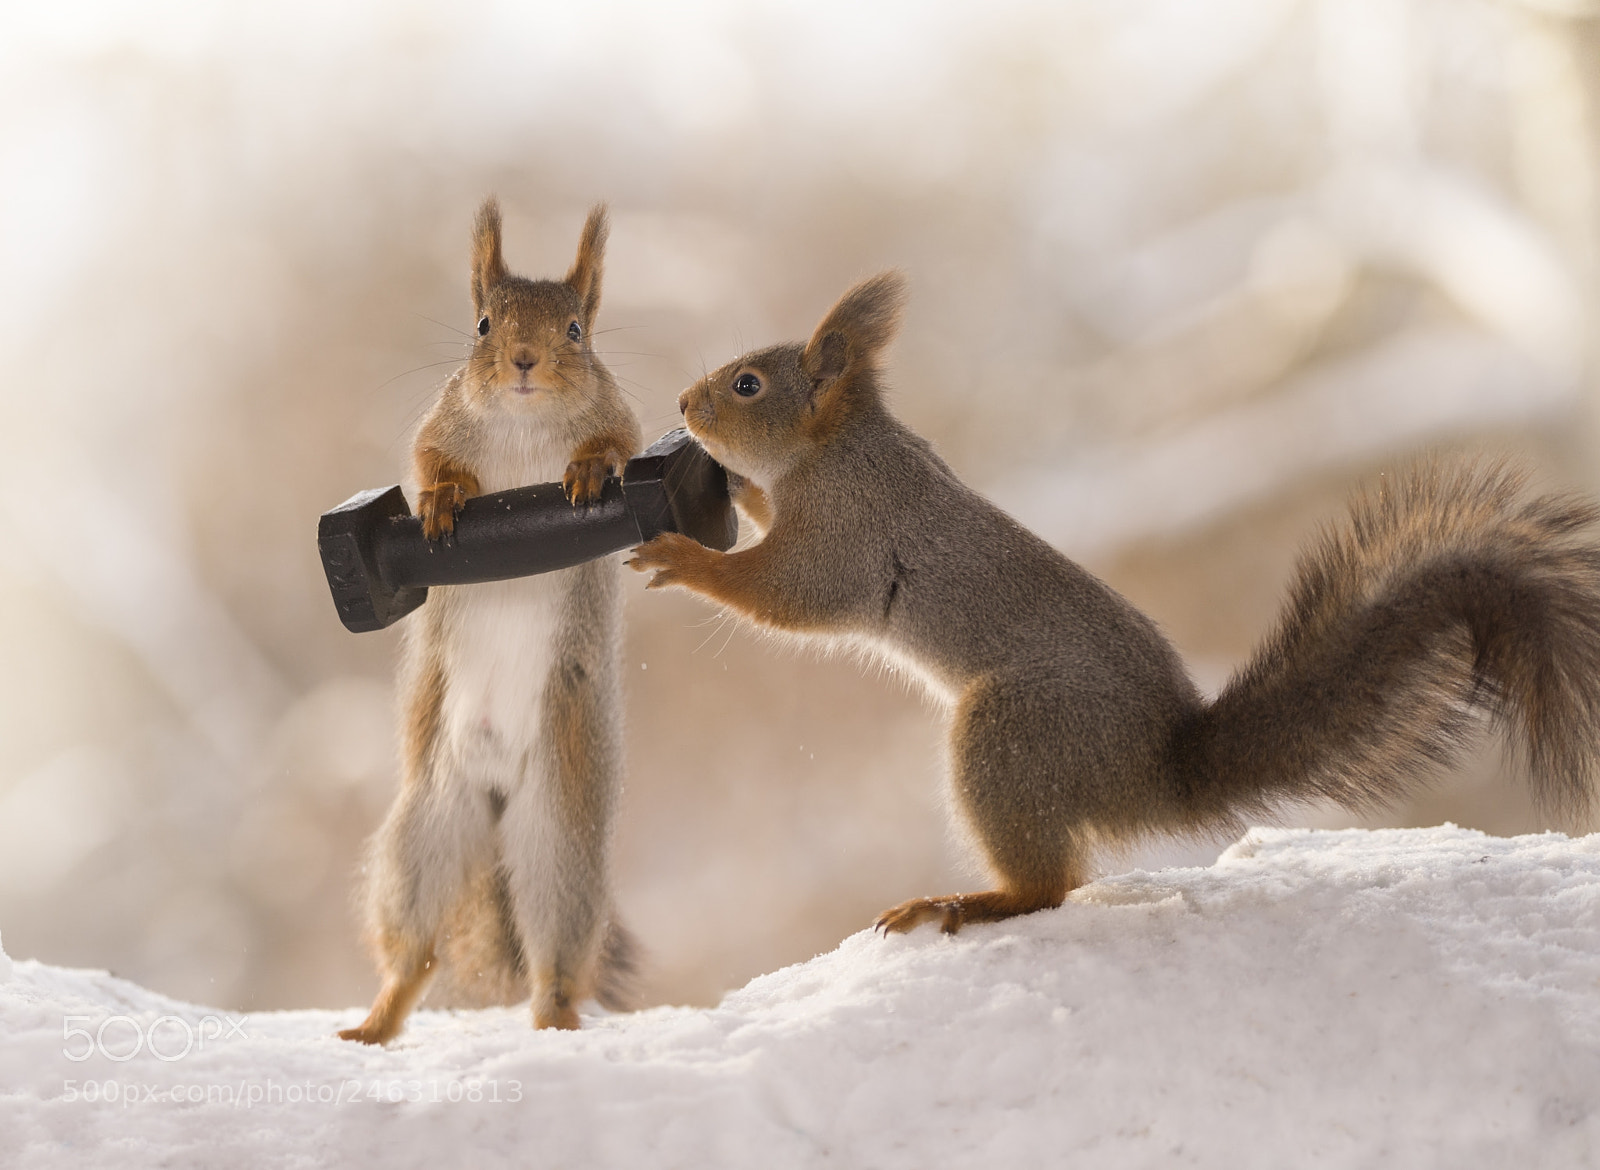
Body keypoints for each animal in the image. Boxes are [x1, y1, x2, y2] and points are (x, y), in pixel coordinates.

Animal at [340, 199, 642, 1043]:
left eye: (575, 329)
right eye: (481, 325)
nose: (524, 361)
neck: (520, 424)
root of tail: (501, 798)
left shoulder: (621, 417)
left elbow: (618, 443)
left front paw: (589, 467)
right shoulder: (439, 428)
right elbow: (430, 463)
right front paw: (444, 500)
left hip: (559, 840)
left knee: (554, 961)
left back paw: (555, 1025)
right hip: (426, 830)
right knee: (417, 952)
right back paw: (374, 1024)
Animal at [629, 271, 1600, 935]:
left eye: (748, 386)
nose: (682, 401)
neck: (835, 450)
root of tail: (1159, 772)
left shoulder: (848, 536)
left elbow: (789, 595)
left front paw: (685, 556)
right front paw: (740, 495)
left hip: (1015, 731)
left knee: (1051, 887)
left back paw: (966, 901)